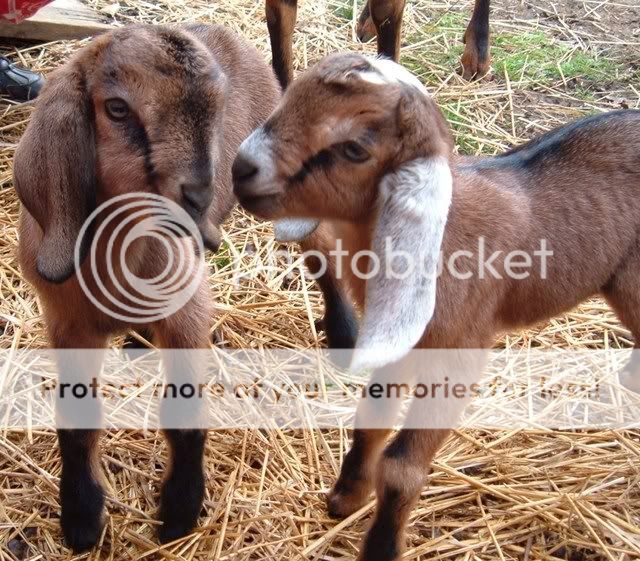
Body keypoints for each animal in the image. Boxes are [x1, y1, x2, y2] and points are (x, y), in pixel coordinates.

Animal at [12, 23, 282, 552]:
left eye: (216, 109)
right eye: (117, 108)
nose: (199, 197)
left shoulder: (187, 311)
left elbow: (184, 410)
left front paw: (179, 510)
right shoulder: (67, 324)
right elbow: (77, 421)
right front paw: (81, 517)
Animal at [232, 52, 640, 561]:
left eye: (354, 149)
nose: (241, 168)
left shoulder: (460, 349)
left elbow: (402, 467)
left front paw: (380, 547)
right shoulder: (400, 336)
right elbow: (371, 422)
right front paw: (345, 498)